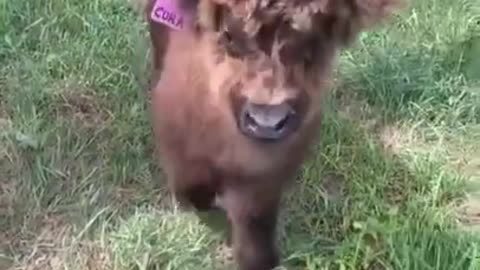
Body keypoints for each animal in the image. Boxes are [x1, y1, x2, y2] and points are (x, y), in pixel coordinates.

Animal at [143, 1, 402, 268]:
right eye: (228, 34)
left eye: (317, 42)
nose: (266, 121)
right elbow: (194, 185)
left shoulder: (270, 173)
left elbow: (255, 222)